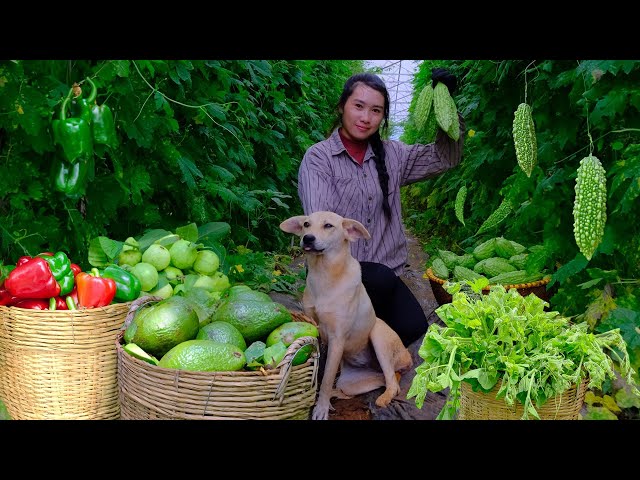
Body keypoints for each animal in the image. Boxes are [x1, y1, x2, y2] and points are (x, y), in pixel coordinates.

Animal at [278, 211, 410, 420]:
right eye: (306, 224)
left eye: (328, 226)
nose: (307, 238)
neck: (324, 274)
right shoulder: (317, 331)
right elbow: (321, 371)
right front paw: (318, 397)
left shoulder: (337, 338)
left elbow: (326, 377)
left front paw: (321, 408)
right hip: (351, 382)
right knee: (354, 388)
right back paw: (335, 395)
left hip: (378, 334)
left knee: (392, 382)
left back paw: (383, 398)